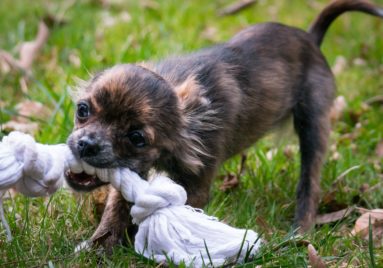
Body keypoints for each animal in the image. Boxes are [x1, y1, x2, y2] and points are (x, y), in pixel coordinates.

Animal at [66, 0, 383, 251]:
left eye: (137, 137)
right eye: (82, 110)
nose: (86, 145)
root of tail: (311, 38)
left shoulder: (196, 185)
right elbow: (116, 209)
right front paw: (99, 247)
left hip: (313, 124)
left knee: (310, 182)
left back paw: (299, 231)